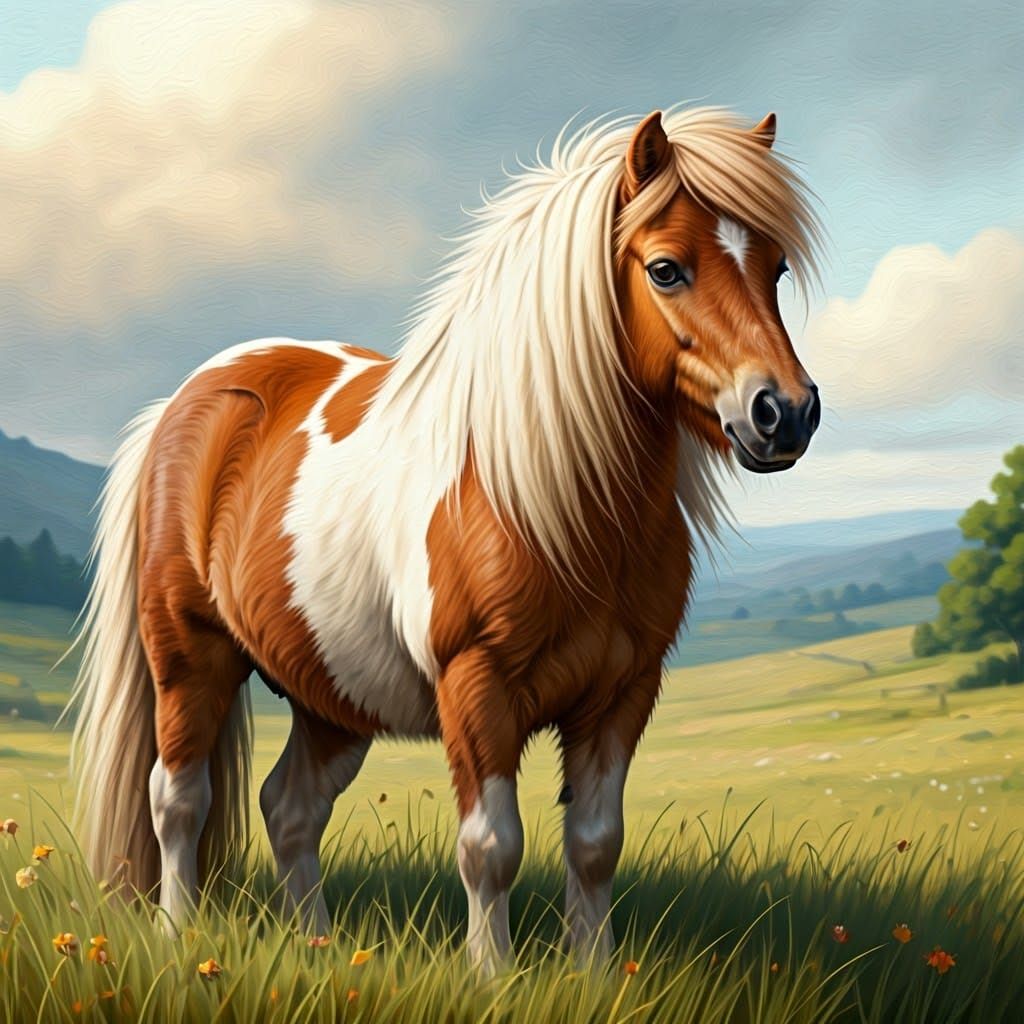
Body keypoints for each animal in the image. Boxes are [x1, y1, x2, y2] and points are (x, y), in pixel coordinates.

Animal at [71, 105, 824, 975]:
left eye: (774, 267)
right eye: (666, 269)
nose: (785, 413)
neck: (544, 499)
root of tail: (181, 401)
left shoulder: (623, 693)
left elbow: (596, 844)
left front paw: (596, 975)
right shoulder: (478, 686)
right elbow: (491, 846)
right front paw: (493, 977)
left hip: (333, 690)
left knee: (290, 808)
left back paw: (317, 946)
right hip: (190, 654)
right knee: (178, 799)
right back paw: (176, 935)